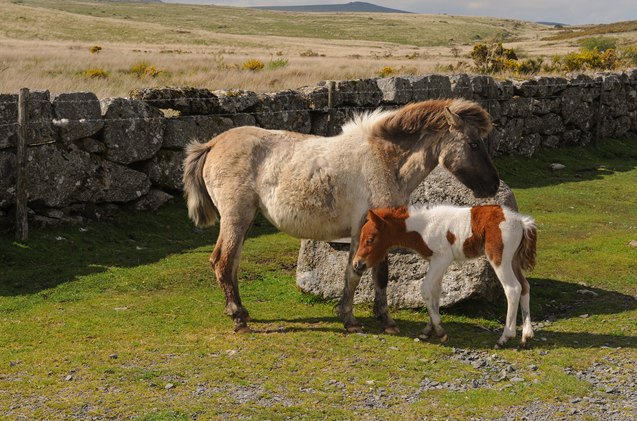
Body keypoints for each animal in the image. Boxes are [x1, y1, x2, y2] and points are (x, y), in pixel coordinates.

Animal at [181, 97, 500, 332]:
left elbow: (355, 272)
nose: (493, 185)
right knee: (223, 262)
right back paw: (238, 318)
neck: (384, 160)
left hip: (244, 220)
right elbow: (375, 273)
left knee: (232, 262)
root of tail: (212, 144)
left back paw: (242, 312)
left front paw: (349, 316)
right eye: (473, 144)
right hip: (236, 217)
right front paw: (381, 320)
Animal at [352, 204, 536, 348]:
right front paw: (428, 331)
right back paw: (526, 337)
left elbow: (425, 289)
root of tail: (521, 222)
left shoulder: (442, 259)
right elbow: (436, 293)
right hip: (513, 260)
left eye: (370, 239)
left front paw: (440, 332)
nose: (357, 264)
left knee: (513, 289)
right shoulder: (436, 262)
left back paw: (505, 337)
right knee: (525, 286)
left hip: (499, 259)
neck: (423, 227)